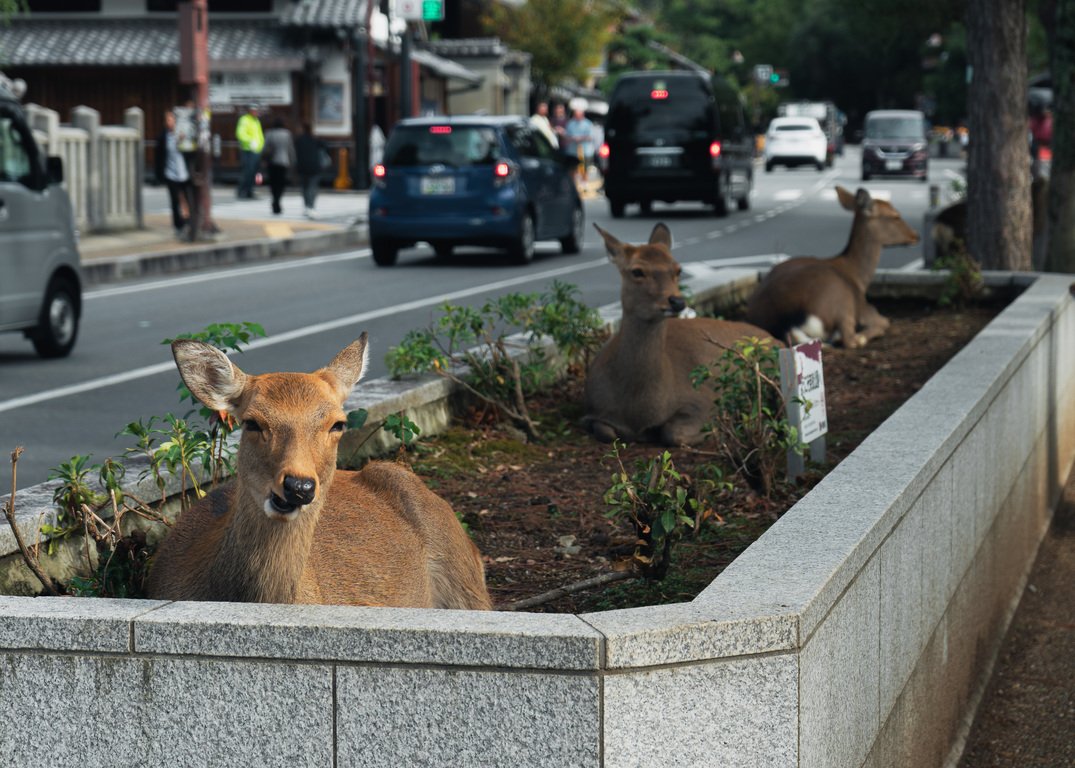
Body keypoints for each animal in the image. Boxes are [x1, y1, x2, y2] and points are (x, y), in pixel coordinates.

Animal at [582, 222, 775, 447]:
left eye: (678, 269)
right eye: (637, 271)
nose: (677, 301)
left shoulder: (704, 402)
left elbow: (673, 434)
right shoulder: (592, 411)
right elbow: (607, 433)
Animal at [746, 186, 919, 349]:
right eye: (895, 216)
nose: (916, 236)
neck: (859, 277)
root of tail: (788, 323)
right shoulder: (865, 308)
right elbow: (885, 321)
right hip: (842, 300)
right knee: (850, 339)